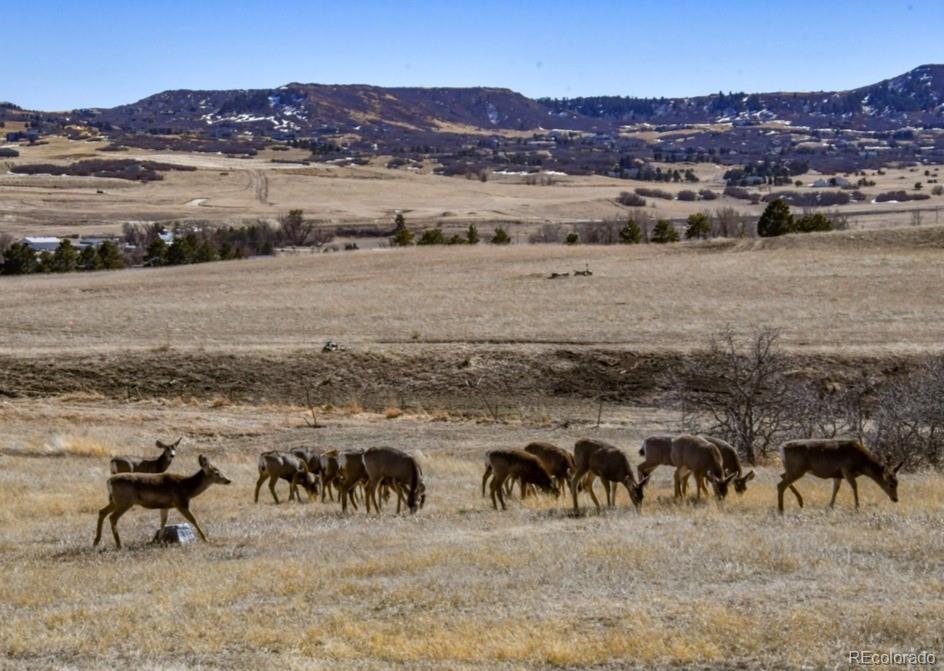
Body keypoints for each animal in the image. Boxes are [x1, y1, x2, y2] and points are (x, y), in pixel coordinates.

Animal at [92, 454, 232, 548]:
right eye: (216, 472)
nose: (228, 480)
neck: (187, 487)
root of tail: (109, 481)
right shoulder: (181, 502)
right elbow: (194, 520)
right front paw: (206, 539)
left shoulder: (165, 506)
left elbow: (163, 522)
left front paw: (158, 541)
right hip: (125, 501)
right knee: (112, 517)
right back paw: (119, 544)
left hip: (115, 501)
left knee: (101, 512)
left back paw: (96, 541)